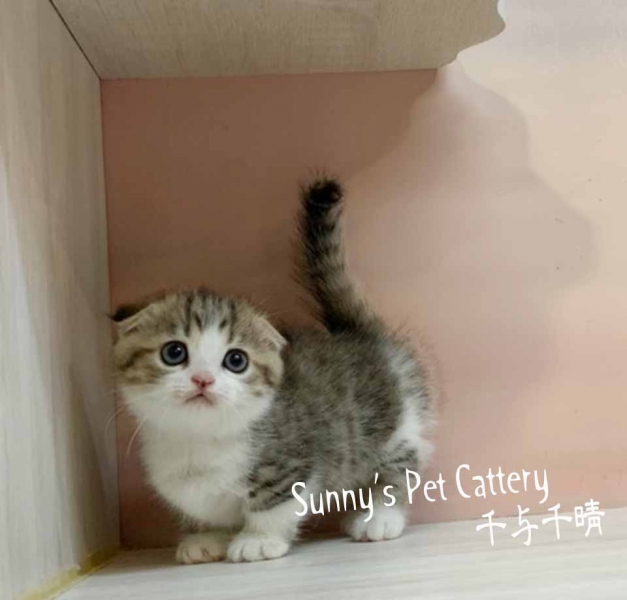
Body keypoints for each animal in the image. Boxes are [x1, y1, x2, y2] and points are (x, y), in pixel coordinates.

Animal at [112, 177, 437, 563]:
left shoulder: (295, 461)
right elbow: (202, 510)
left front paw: (258, 540)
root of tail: (359, 333)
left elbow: (274, 504)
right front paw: (205, 538)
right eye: (174, 352)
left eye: (236, 360)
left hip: (397, 429)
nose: (203, 379)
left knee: (400, 468)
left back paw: (381, 518)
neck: (200, 440)